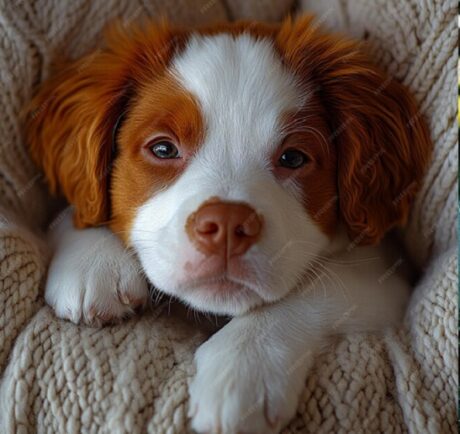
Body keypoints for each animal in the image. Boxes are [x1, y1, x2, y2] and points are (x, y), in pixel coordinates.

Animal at [27, 15, 432, 432]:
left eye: (293, 157)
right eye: (163, 148)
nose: (226, 226)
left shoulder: (387, 278)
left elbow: (320, 287)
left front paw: (243, 368)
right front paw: (92, 259)